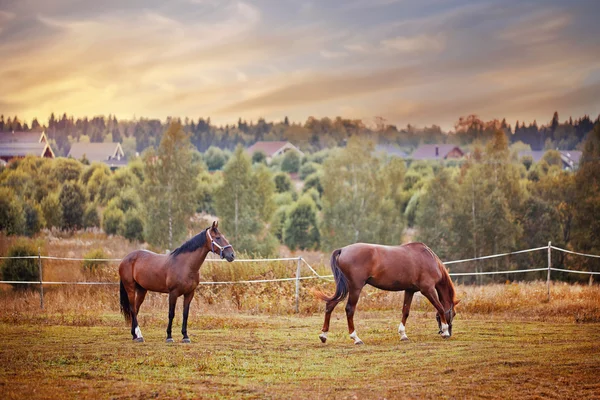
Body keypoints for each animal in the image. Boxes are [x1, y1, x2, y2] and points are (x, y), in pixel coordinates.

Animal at [318, 242, 460, 346]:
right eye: (453, 313)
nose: (451, 332)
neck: (429, 259)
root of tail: (342, 250)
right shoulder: (428, 290)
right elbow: (440, 308)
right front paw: (445, 331)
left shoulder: (409, 290)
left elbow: (405, 312)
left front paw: (403, 335)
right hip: (354, 288)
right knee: (349, 309)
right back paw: (356, 338)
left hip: (345, 288)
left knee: (330, 305)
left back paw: (324, 335)